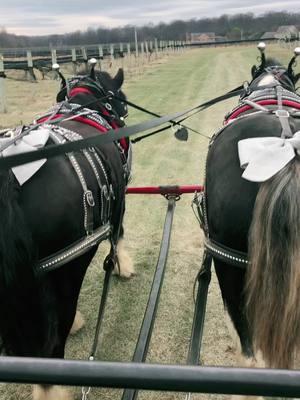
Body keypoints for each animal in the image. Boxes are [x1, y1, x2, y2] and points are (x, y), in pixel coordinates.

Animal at [0, 66, 134, 400]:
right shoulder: (120, 201)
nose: (123, 117)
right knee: (50, 347)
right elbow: (118, 234)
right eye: (120, 98)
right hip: (66, 267)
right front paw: (123, 266)